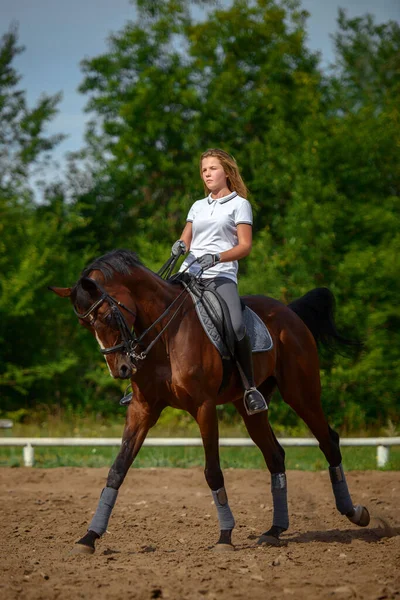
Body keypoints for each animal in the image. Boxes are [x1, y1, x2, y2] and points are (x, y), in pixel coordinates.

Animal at [49, 247, 368, 552]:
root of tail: (290, 313)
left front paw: (225, 537)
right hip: (250, 407)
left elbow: (212, 471)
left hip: (301, 394)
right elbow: (117, 469)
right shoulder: (142, 408)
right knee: (275, 455)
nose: (121, 370)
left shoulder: (204, 408)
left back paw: (354, 513)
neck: (165, 334)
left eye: (108, 316)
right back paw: (275, 530)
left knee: (328, 441)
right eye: (86, 326)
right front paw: (89, 537)